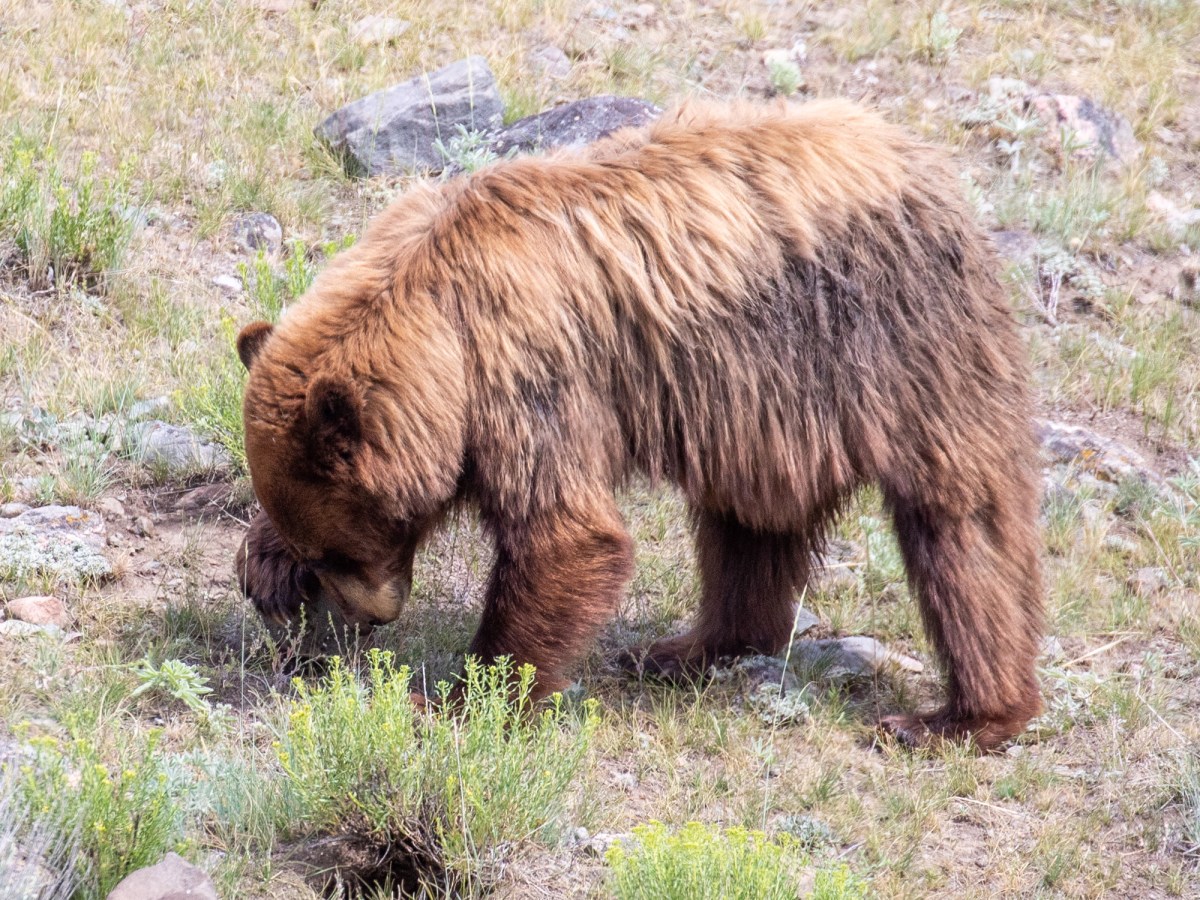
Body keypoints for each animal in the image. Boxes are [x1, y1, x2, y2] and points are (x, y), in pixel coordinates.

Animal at [234, 98, 1044, 751]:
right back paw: (691, 648)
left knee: (961, 525)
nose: (372, 615)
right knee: (748, 524)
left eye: (345, 545)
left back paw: (958, 717)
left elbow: (566, 536)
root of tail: (928, 163)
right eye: (324, 551)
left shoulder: (529, 374)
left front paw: (463, 698)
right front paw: (264, 568)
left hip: (903, 343)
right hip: (762, 406)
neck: (435, 318)